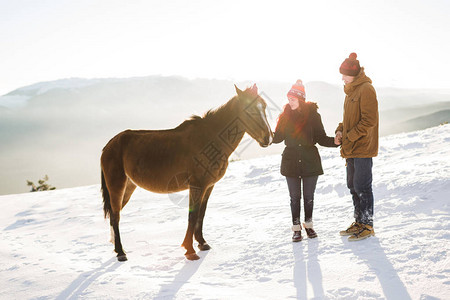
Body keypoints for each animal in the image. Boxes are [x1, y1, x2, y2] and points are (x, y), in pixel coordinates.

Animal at [100, 84, 272, 260]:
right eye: (248, 109)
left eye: (264, 107)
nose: (268, 137)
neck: (209, 139)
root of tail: (108, 146)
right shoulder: (196, 185)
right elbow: (192, 215)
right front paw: (190, 250)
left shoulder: (208, 186)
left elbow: (201, 214)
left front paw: (202, 243)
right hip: (117, 187)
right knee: (115, 216)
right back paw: (121, 252)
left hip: (129, 186)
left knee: (114, 215)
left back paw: (116, 248)